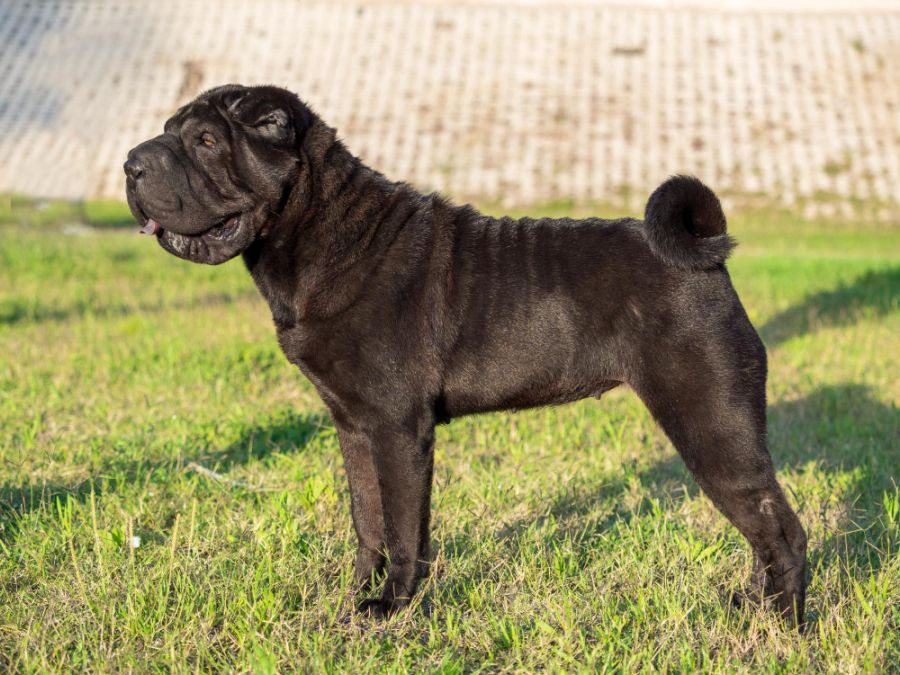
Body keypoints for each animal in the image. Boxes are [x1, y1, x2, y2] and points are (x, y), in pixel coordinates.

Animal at [126, 86, 808, 628]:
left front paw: (391, 607)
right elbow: (367, 521)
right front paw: (355, 596)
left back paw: (782, 626)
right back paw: (752, 606)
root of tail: (707, 251)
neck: (320, 232)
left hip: (711, 424)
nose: (132, 163)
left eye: (207, 141)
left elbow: (405, 528)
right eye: (167, 130)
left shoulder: (398, 428)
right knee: (761, 527)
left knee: (780, 528)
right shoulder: (353, 426)